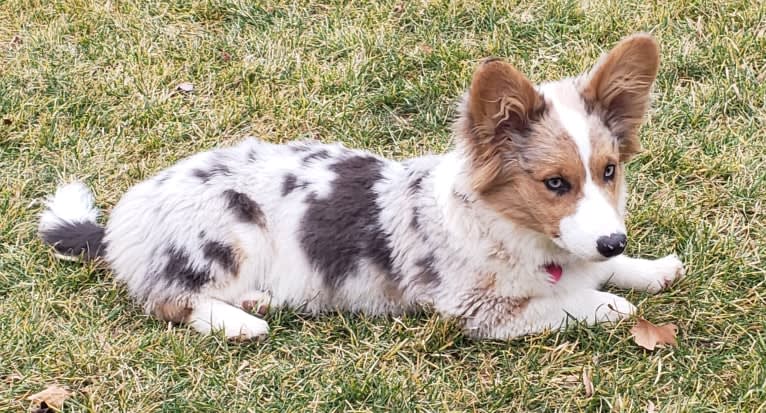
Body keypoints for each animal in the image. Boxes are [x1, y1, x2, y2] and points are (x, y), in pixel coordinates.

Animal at [37, 33, 684, 340]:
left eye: (609, 171)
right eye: (554, 183)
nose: (615, 240)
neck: (511, 226)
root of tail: (124, 219)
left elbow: (604, 270)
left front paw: (651, 268)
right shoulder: (480, 311)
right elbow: (571, 303)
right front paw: (610, 303)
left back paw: (253, 301)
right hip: (225, 232)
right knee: (169, 300)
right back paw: (243, 323)